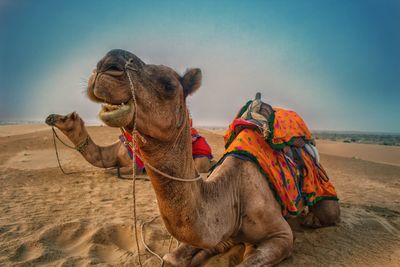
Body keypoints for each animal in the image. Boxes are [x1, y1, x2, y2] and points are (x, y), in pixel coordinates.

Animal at [44, 112, 214, 175]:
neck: (114, 152)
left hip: (199, 161)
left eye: (65, 118)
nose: (49, 117)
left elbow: (115, 171)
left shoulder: (134, 166)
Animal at [86, 49, 340, 266]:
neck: (231, 195)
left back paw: (310, 218)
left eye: (168, 85)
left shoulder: (281, 235)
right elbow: (173, 258)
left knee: (328, 212)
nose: (107, 64)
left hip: (323, 195)